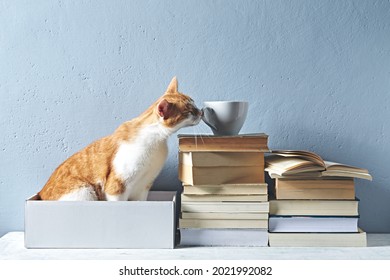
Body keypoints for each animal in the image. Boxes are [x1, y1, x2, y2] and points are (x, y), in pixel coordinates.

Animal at [39, 77, 201, 201]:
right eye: (189, 111)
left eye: (194, 103)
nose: (200, 112)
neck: (156, 141)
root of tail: (40, 193)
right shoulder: (116, 187)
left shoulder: (144, 187)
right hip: (86, 191)